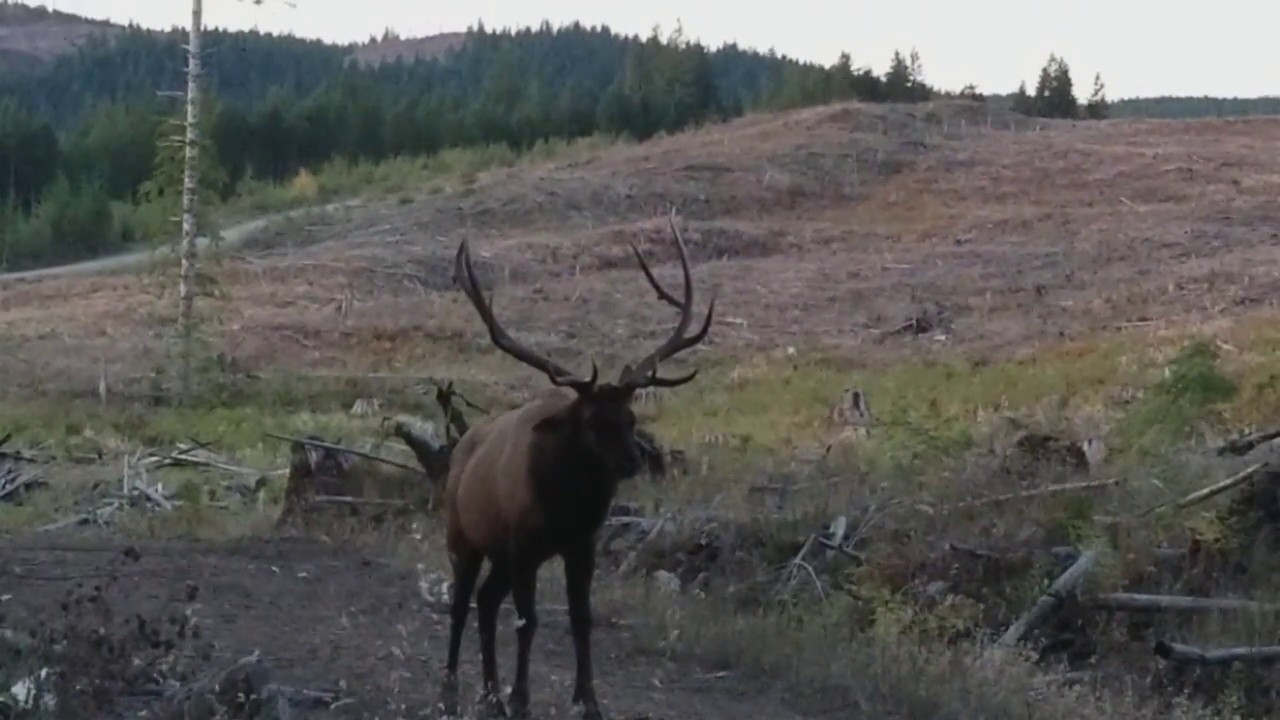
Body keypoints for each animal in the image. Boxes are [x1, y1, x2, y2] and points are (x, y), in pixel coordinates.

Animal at [440, 209, 715, 720]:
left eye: (630, 417)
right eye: (591, 421)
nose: (632, 460)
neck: (565, 505)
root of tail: (461, 446)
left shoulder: (580, 545)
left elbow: (581, 619)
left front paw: (588, 700)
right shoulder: (525, 544)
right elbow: (528, 621)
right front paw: (523, 698)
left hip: (500, 554)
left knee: (486, 601)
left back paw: (490, 693)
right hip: (462, 534)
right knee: (462, 601)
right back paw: (452, 687)